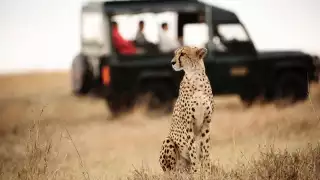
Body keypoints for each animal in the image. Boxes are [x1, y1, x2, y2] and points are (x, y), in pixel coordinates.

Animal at [158, 45, 214, 176]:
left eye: (183, 54)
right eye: (175, 53)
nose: (172, 62)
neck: (195, 77)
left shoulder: (206, 122)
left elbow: (205, 150)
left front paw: (207, 172)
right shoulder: (189, 124)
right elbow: (193, 150)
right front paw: (196, 173)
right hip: (168, 141)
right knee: (170, 172)